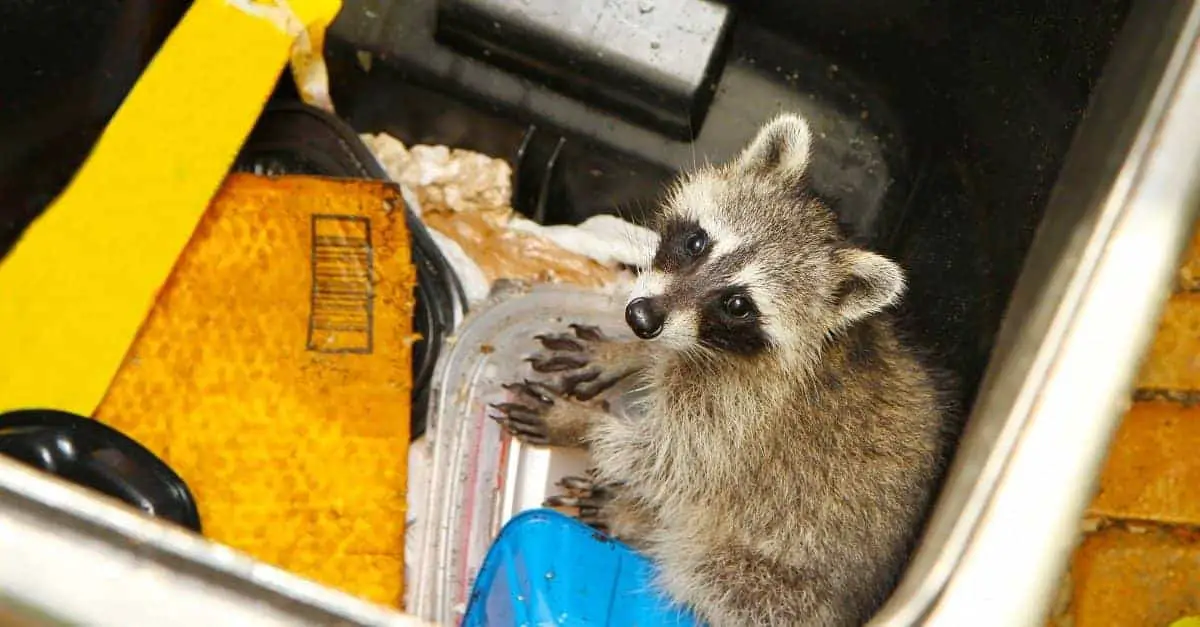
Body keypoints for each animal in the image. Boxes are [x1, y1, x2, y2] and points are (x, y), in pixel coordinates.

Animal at [492, 113, 950, 624]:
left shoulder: (737, 420)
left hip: (772, 586)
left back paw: (639, 522)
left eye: (737, 304)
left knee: (703, 566)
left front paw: (578, 423)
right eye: (696, 242)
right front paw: (628, 353)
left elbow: (667, 461)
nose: (640, 318)